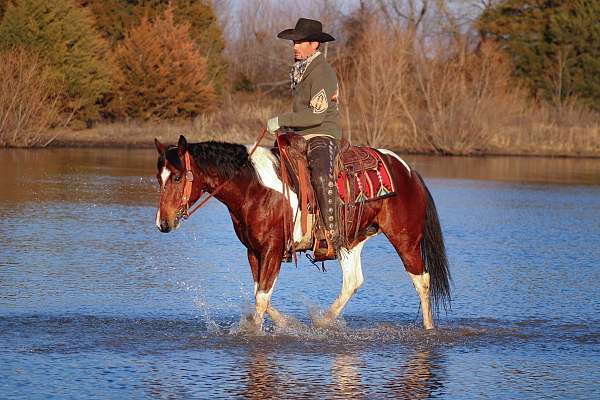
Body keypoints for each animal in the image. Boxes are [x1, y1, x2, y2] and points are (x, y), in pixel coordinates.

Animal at [155, 136, 450, 330]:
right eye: (159, 178)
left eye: (178, 177)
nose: (163, 223)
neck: (254, 188)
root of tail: (410, 172)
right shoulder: (253, 251)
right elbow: (259, 294)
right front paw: (286, 323)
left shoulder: (273, 249)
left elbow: (261, 298)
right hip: (350, 240)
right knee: (353, 281)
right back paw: (323, 321)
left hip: (405, 239)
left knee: (422, 280)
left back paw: (428, 328)